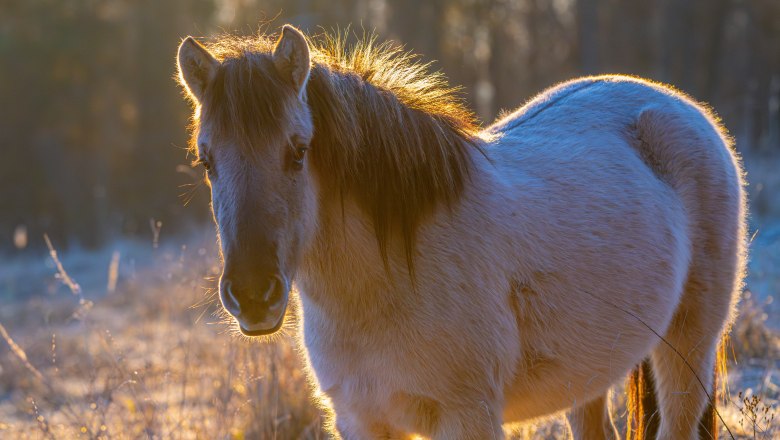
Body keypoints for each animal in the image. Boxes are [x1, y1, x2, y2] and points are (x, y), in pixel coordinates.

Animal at [175, 24, 744, 440]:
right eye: (206, 162)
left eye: (298, 151)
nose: (253, 294)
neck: (387, 280)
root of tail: (679, 108)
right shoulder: (361, 420)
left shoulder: (465, 417)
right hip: (590, 374)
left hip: (687, 346)